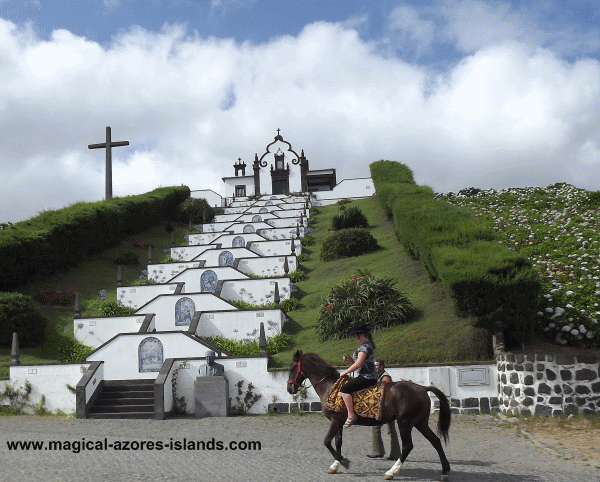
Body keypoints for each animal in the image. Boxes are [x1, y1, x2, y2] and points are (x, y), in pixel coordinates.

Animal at [288, 352, 450, 480]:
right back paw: (445, 470)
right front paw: (335, 465)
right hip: (420, 422)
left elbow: (327, 441)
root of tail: (423, 388)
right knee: (435, 441)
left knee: (407, 446)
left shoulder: (335, 420)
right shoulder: (339, 421)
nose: (290, 388)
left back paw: (392, 472)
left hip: (405, 422)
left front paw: (344, 461)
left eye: (292, 368)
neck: (330, 387)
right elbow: (338, 442)